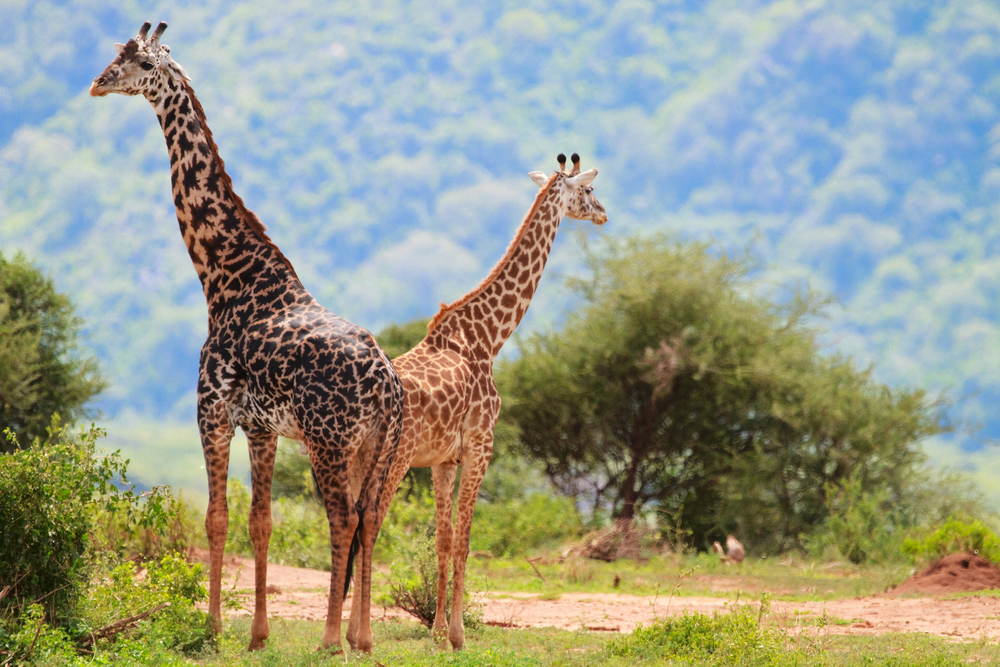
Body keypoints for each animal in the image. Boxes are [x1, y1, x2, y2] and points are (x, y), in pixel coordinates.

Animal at [90, 22, 402, 652]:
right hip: (375, 446)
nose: (97, 83)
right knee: (371, 516)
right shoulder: (262, 427)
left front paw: (210, 628)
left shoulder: (211, 411)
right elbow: (260, 521)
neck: (222, 275)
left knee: (343, 518)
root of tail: (388, 385)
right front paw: (257, 635)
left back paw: (329, 639)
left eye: (137, 61)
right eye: (116, 55)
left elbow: (217, 518)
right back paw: (361, 638)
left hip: (329, 442)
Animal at [348, 154, 604, 648]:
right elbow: (466, 539)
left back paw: (340, 636)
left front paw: (433, 632)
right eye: (587, 191)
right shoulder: (481, 445)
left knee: (346, 523)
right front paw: (457, 634)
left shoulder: (443, 459)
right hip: (394, 459)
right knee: (369, 523)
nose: (604, 213)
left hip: (349, 459)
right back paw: (360, 637)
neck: (488, 338)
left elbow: (444, 540)